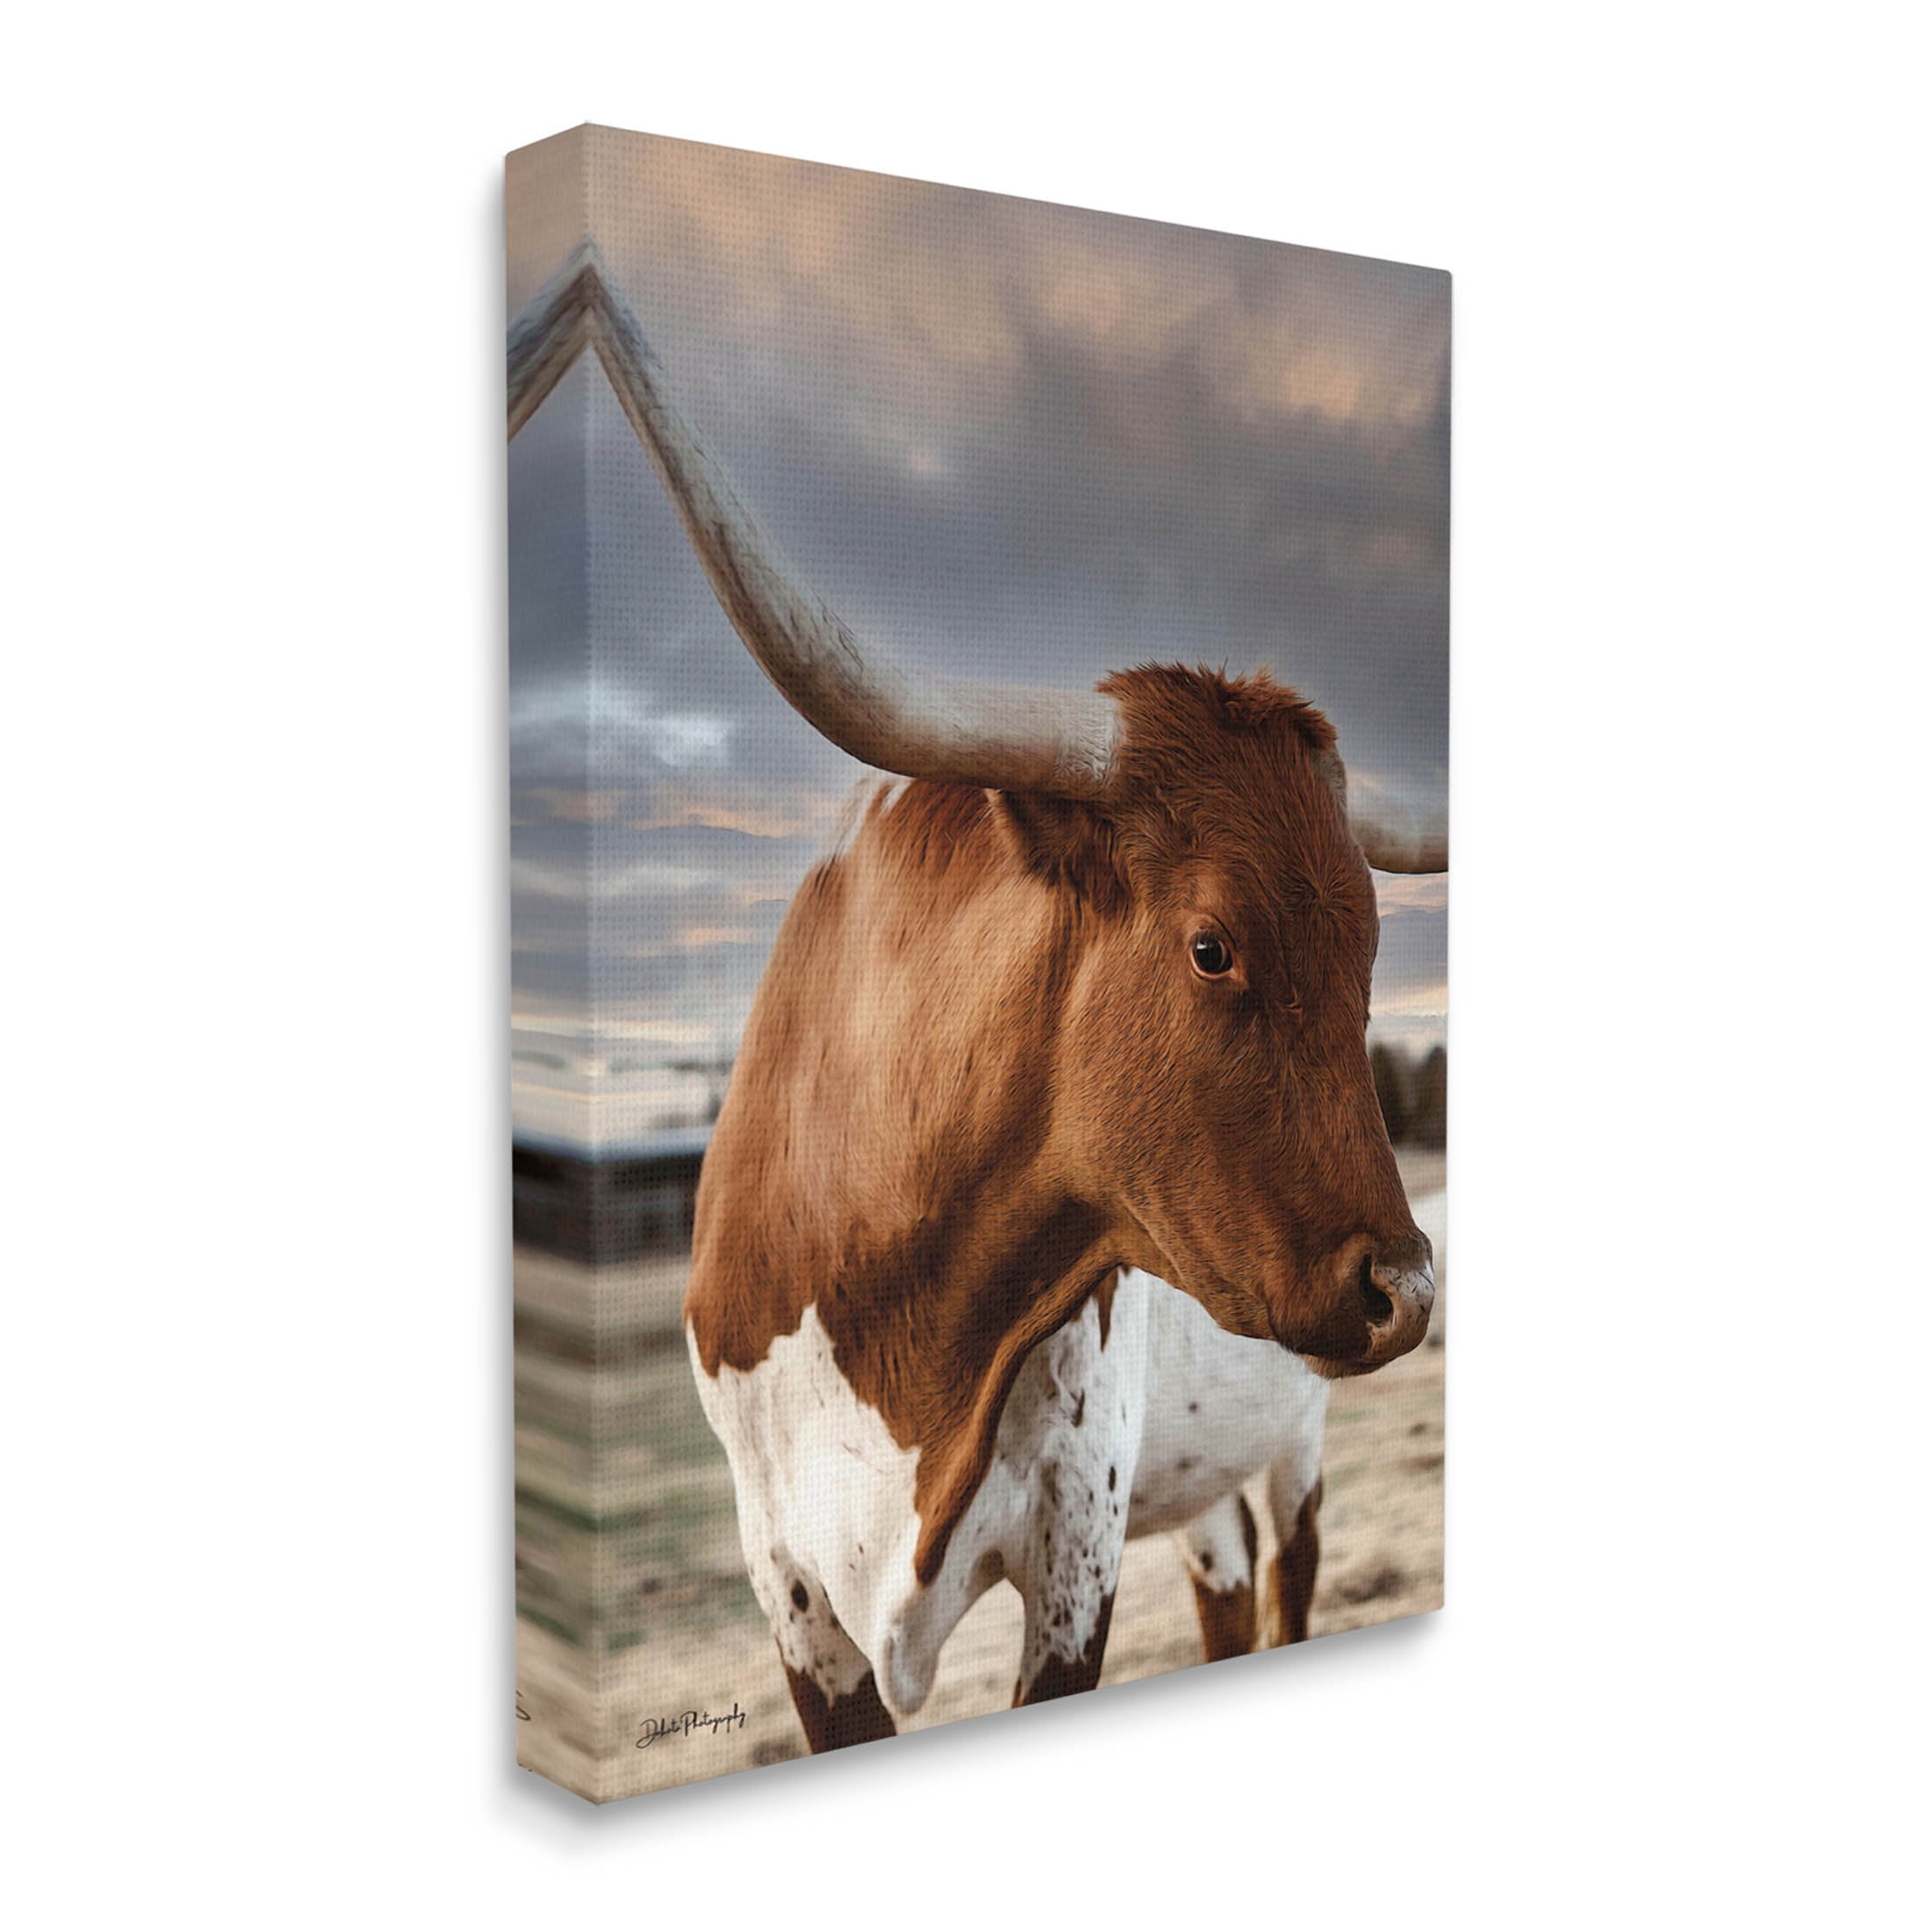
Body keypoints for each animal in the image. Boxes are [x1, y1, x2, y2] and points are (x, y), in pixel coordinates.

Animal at [508, 243, 1447, 1751]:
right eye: (1210, 946)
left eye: (1369, 958)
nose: (1406, 1292)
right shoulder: (787, 1585)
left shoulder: (1075, 1541)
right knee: (1229, 1588)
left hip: (1291, 1444)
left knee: (1287, 1583)